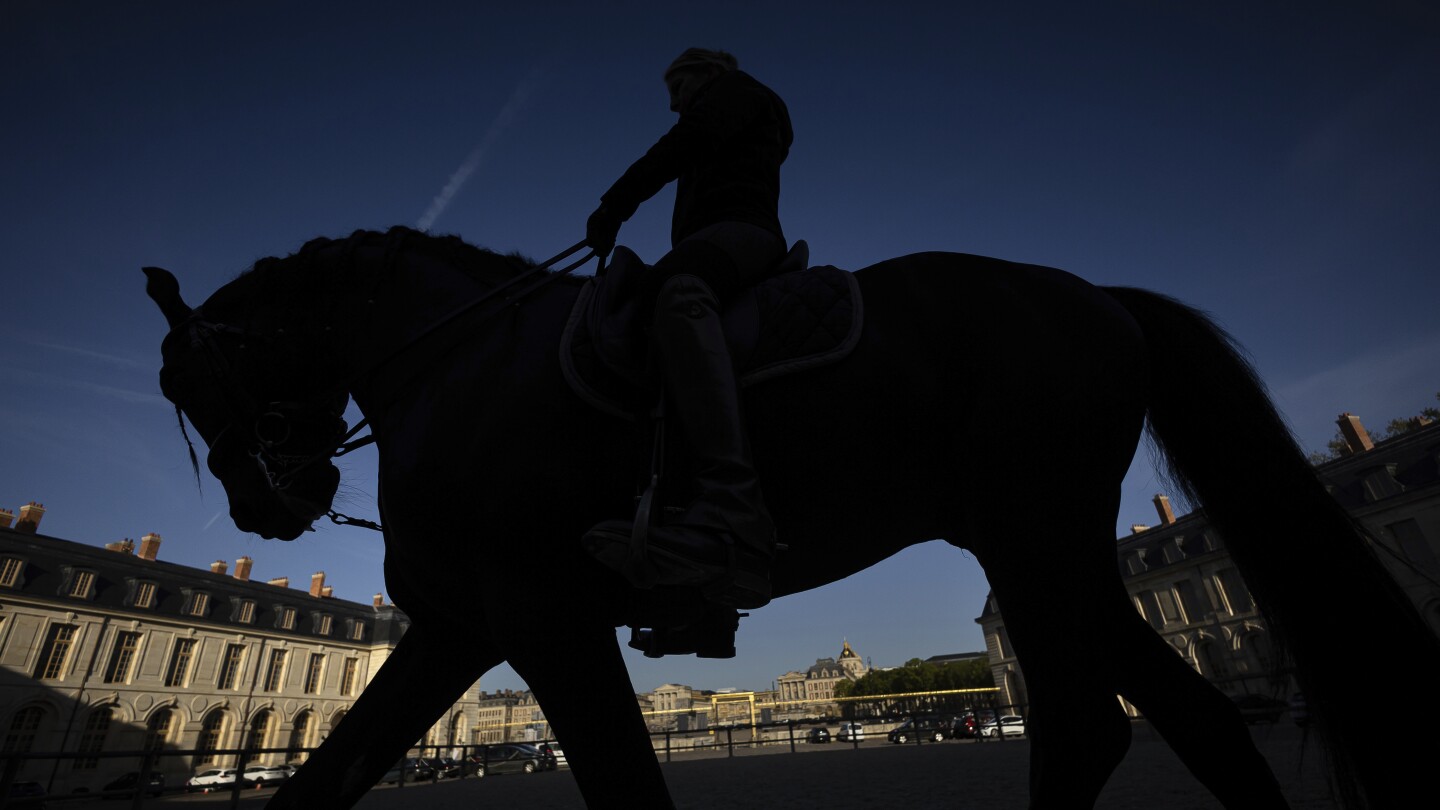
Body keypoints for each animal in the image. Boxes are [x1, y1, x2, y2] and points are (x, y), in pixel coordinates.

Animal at [146, 223, 1440, 801]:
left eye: (190, 382)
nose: (268, 506)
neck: (456, 364)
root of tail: (1101, 298)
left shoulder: (545, 617)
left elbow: (627, 784)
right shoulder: (462, 628)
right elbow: (327, 777)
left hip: (1033, 537)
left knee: (1089, 727)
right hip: (1049, 547)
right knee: (1191, 718)